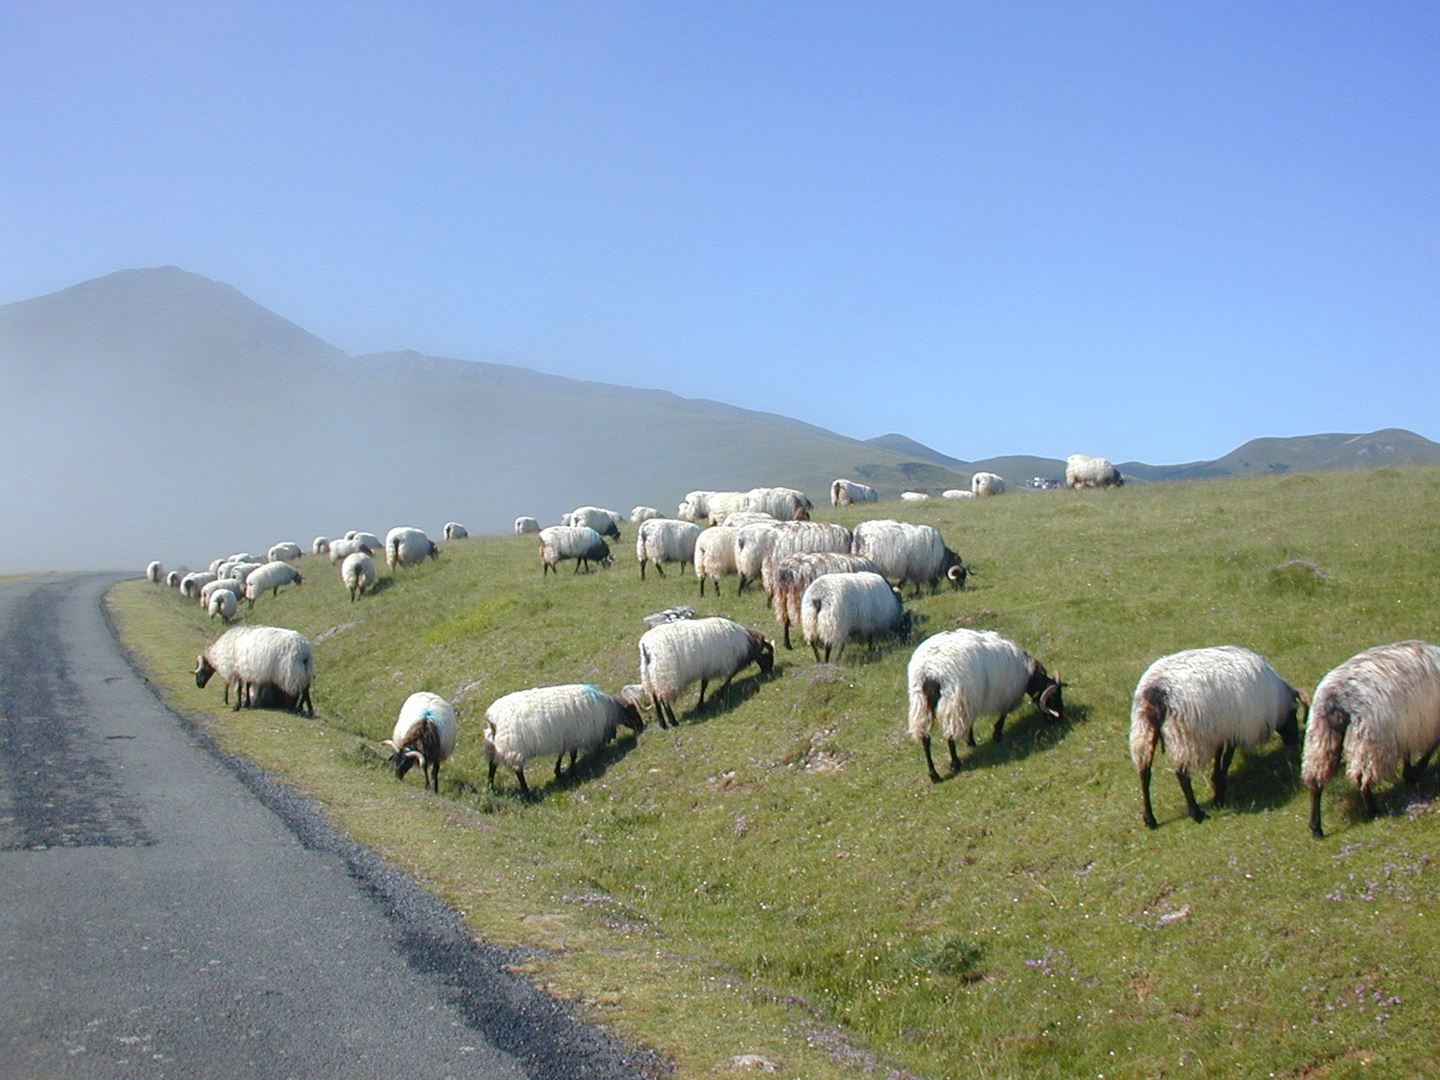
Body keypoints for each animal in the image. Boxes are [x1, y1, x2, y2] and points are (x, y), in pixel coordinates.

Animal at [483, 688, 642, 800]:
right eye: (633, 710)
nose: (642, 727)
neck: (608, 711)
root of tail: (492, 718)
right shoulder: (576, 736)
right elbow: (572, 755)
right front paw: (572, 771)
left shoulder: (567, 737)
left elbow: (562, 754)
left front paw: (558, 771)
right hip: (513, 747)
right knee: (518, 771)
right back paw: (526, 791)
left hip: (495, 746)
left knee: (492, 765)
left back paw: (491, 787)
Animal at [639, 613, 777, 731]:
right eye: (769, 656)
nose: (770, 672)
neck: (747, 644)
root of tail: (646, 647)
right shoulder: (722, 664)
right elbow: (722, 679)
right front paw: (714, 695)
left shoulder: (708, 668)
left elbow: (707, 685)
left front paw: (703, 702)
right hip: (666, 676)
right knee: (663, 699)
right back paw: (673, 721)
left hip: (650, 675)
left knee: (655, 698)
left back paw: (663, 723)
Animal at [904, 630, 1065, 783]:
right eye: (1052, 698)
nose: (1061, 718)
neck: (1029, 675)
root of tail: (928, 670)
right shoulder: (1003, 695)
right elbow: (1002, 715)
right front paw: (996, 734)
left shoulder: (973, 699)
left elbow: (971, 722)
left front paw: (971, 741)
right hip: (953, 699)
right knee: (949, 735)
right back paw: (955, 764)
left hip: (921, 701)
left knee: (925, 738)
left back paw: (934, 775)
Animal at [1128, 648, 1313, 835]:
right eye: (1295, 711)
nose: (1293, 741)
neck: (1276, 701)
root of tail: (1156, 690)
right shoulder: (1236, 730)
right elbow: (1226, 761)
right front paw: (1219, 796)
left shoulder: (1220, 730)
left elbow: (1219, 758)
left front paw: (1217, 788)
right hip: (1184, 737)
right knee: (1182, 776)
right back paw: (1196, 813)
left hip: (1142, 731)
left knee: (1145, 774)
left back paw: (1150, 819)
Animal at [1301, 639, 1440, 840]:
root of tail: (1337, 697)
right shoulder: (1428, 724)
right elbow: (1431, 747)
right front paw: (1413, 773)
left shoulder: (1408, 727)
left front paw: (1409, 773)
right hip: (1371, 737)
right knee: (1362, 777)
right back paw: (1373, 811)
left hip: (1321, 735)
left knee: (1315, 780)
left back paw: (1316, 828)